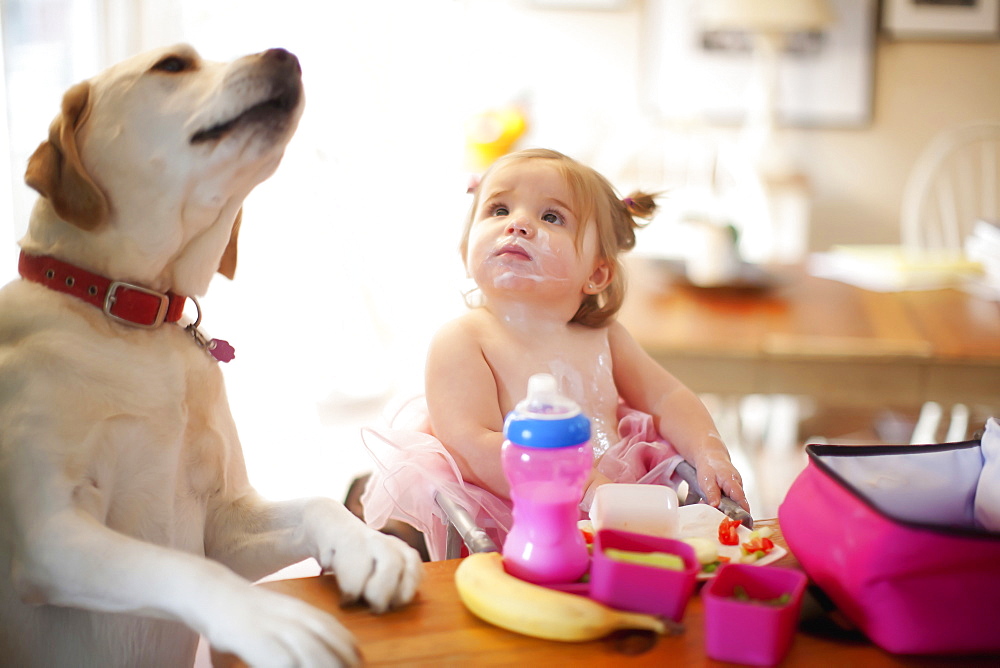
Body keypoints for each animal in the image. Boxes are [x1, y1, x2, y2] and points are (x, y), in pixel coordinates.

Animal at [0, 44, 422, 664]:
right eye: (173, 65)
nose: (287, 55)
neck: (134, 318)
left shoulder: (225, 521)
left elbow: (320, 503)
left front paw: (367, 545)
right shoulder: (49, 534)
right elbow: (177, 566)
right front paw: (268, 619)